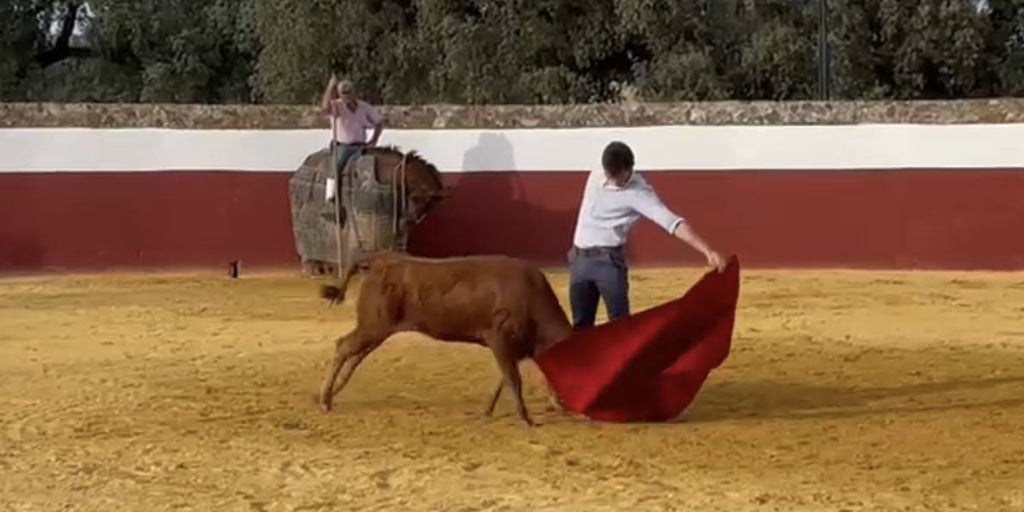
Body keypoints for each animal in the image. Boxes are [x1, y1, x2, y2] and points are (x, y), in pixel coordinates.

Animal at [317, 250, 573, 423]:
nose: (566, 405)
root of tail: (378, 260)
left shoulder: (515, 349)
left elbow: (505, 378)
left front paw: (488, 410)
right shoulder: (500, 340)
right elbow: (513, 379)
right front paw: (525, 418)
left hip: (377, 329)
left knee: (355, 355)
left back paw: (332, 393)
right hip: (373, 325)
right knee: (343, 347)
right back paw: (325, 399)